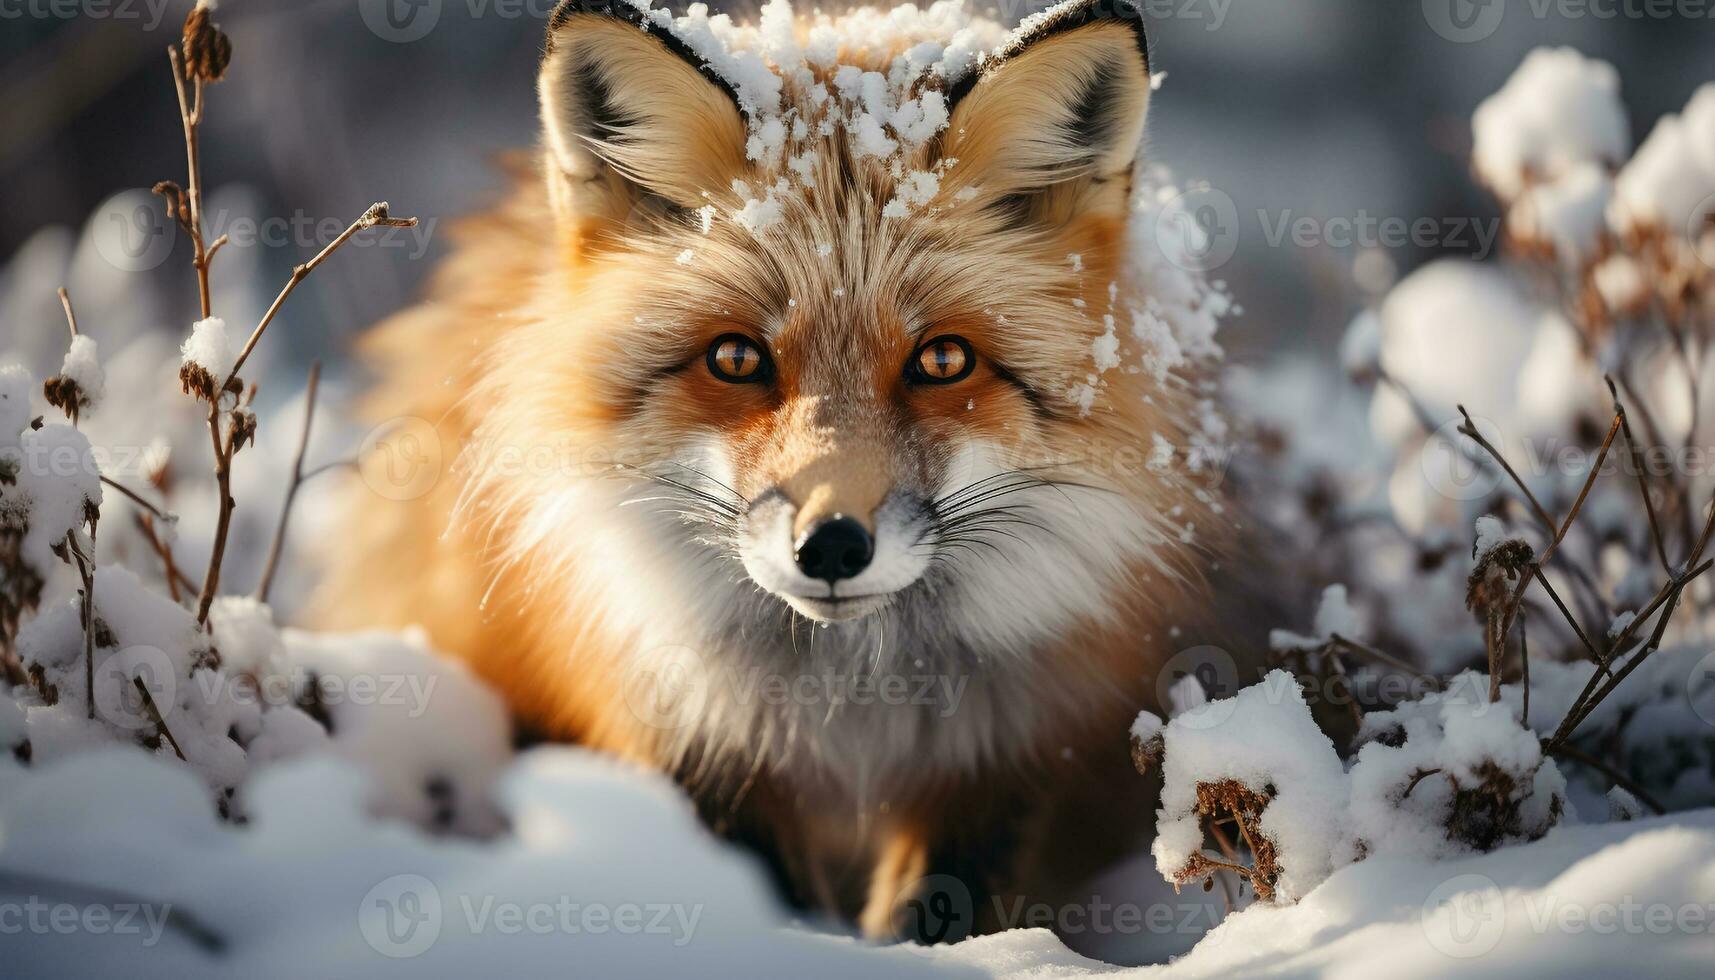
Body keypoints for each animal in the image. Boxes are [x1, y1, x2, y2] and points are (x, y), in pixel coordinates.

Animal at [318, 0, 1248, 947]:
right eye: (736, 358)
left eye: (943, 360)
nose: (831, 545)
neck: (851, 704)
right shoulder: (686, 735)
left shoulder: (1010, 758)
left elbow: (946, 906)